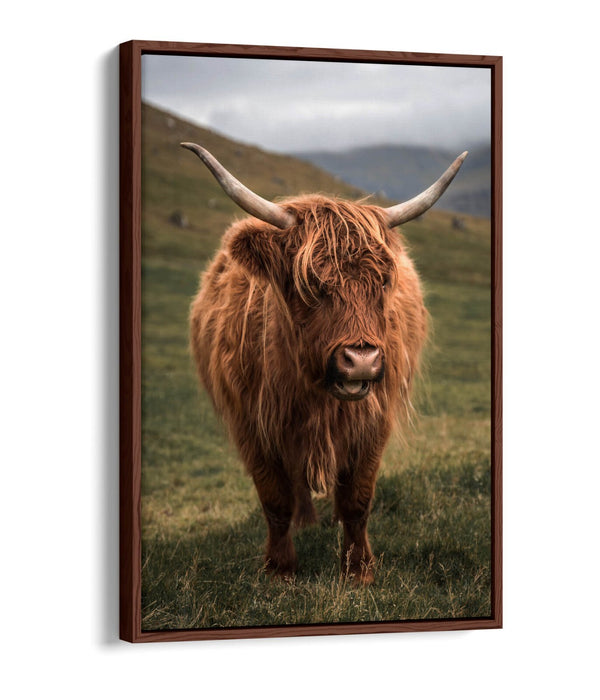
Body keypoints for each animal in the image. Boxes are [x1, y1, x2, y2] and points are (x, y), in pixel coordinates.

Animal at [182, 142, 467, 584]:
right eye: (310, 283)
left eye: (383, 281)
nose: (361, 360)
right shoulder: (251, 424)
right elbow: (275, 499)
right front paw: (280, 568)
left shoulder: (374, 420)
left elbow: (357, 499)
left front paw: (359, 569)